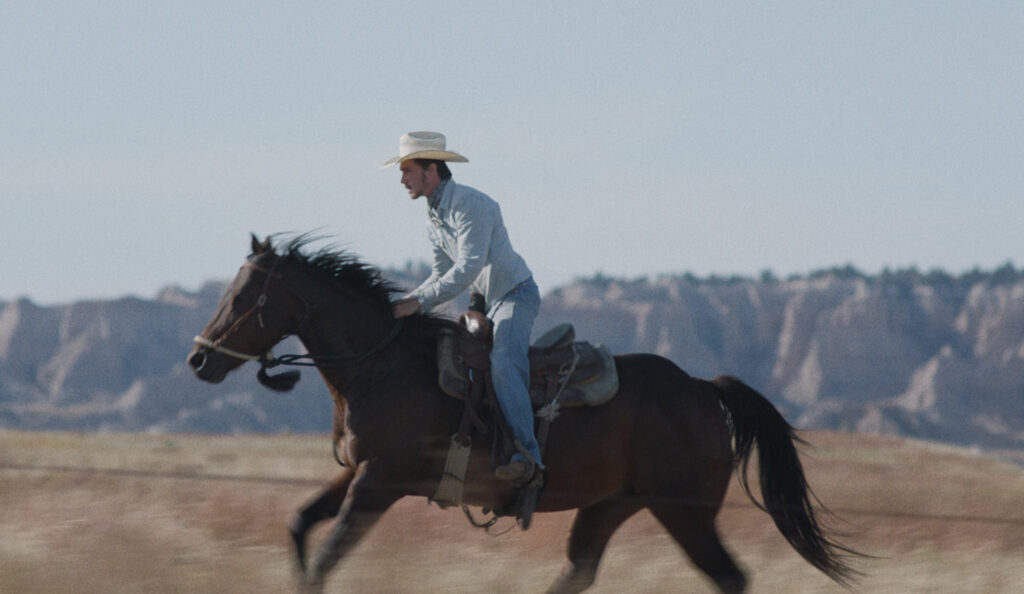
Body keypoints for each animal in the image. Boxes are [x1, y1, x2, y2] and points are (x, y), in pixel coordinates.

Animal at [188, 234, 860, 589]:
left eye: (244, 297)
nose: (199, 359)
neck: (382, 365)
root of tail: (703, 388)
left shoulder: (381, 482)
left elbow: (328, 554)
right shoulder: (358, 473)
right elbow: (300, 524)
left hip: (684, 511)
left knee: (728, 578)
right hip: (612, 504)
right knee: (579, 571)